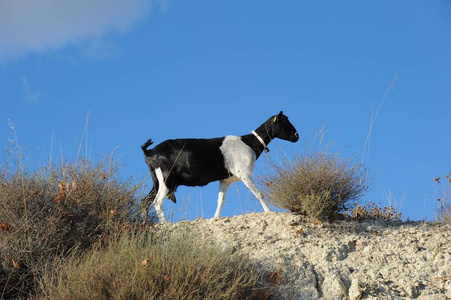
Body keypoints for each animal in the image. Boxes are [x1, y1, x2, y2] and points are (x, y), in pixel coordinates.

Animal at [139, 111, 298, 221]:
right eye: (284, 122)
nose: (297, 135)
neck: (249, 142)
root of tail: (150, 151)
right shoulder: (245, 174)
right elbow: (258, 193)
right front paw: (269, 211)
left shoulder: (225, 180)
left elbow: (220, 200)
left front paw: (215, 218)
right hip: (167, 179)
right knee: (157, 202)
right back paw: (165, 224)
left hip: (157, 180)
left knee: (145, 201)